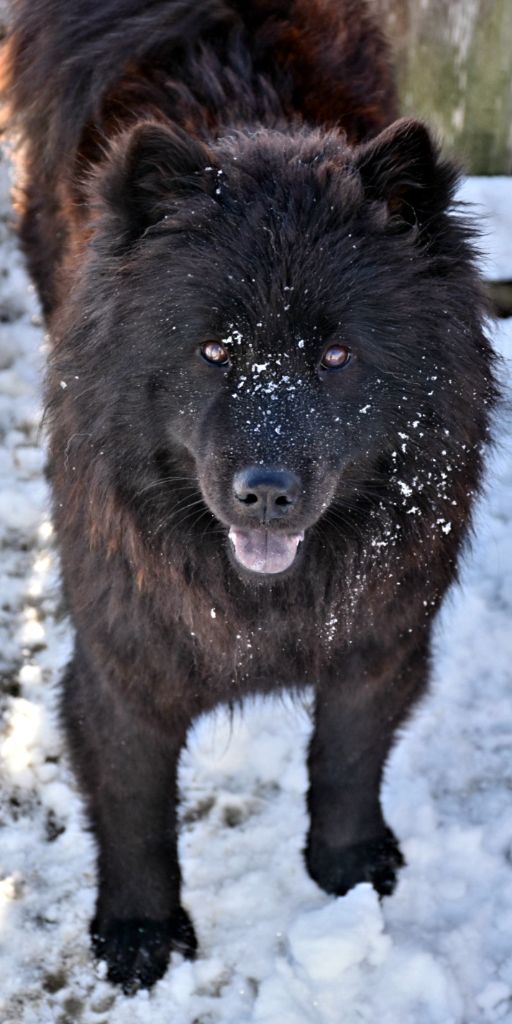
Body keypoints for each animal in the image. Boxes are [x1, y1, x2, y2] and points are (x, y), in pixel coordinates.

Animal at [1, 0, 495, 991]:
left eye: (336, 356)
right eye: (214, 350)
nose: (265, 492)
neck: (270, 605)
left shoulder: (382, 637)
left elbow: (347, 758)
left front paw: (348, 868)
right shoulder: (125, 657)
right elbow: (135, 808)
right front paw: (140, 935)